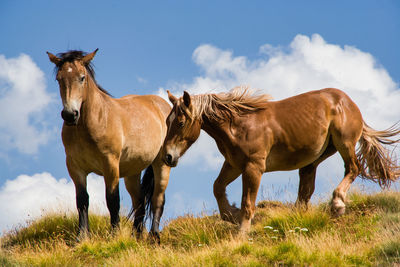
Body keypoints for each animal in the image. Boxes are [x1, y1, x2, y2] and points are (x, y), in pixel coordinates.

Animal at [47, 48, 171, 243]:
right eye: (59, 79)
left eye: (82, 77)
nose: (70, 115)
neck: (95, 120)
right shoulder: (75, 167)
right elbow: (82, 200)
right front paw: (81, 237)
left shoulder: (110, 165)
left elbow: (112, 200)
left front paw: (114, 235)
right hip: (133, 170)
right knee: (140, 202)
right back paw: (136, 236)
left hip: (161, 164)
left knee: (157, 199)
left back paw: (154, 237)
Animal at [160, 87, 400, 234]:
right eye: (167, 121)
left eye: (180, 122)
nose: (168, 157)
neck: (238, 125)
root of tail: (349, 102)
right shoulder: (234, 165)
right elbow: (217, 188)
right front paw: (232, 215)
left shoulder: (253, 167)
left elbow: (248, 203)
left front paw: (242, 232)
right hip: (316, 157)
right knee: (305, 190)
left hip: (345, 144)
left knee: (353, 169)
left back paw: (337, 204)